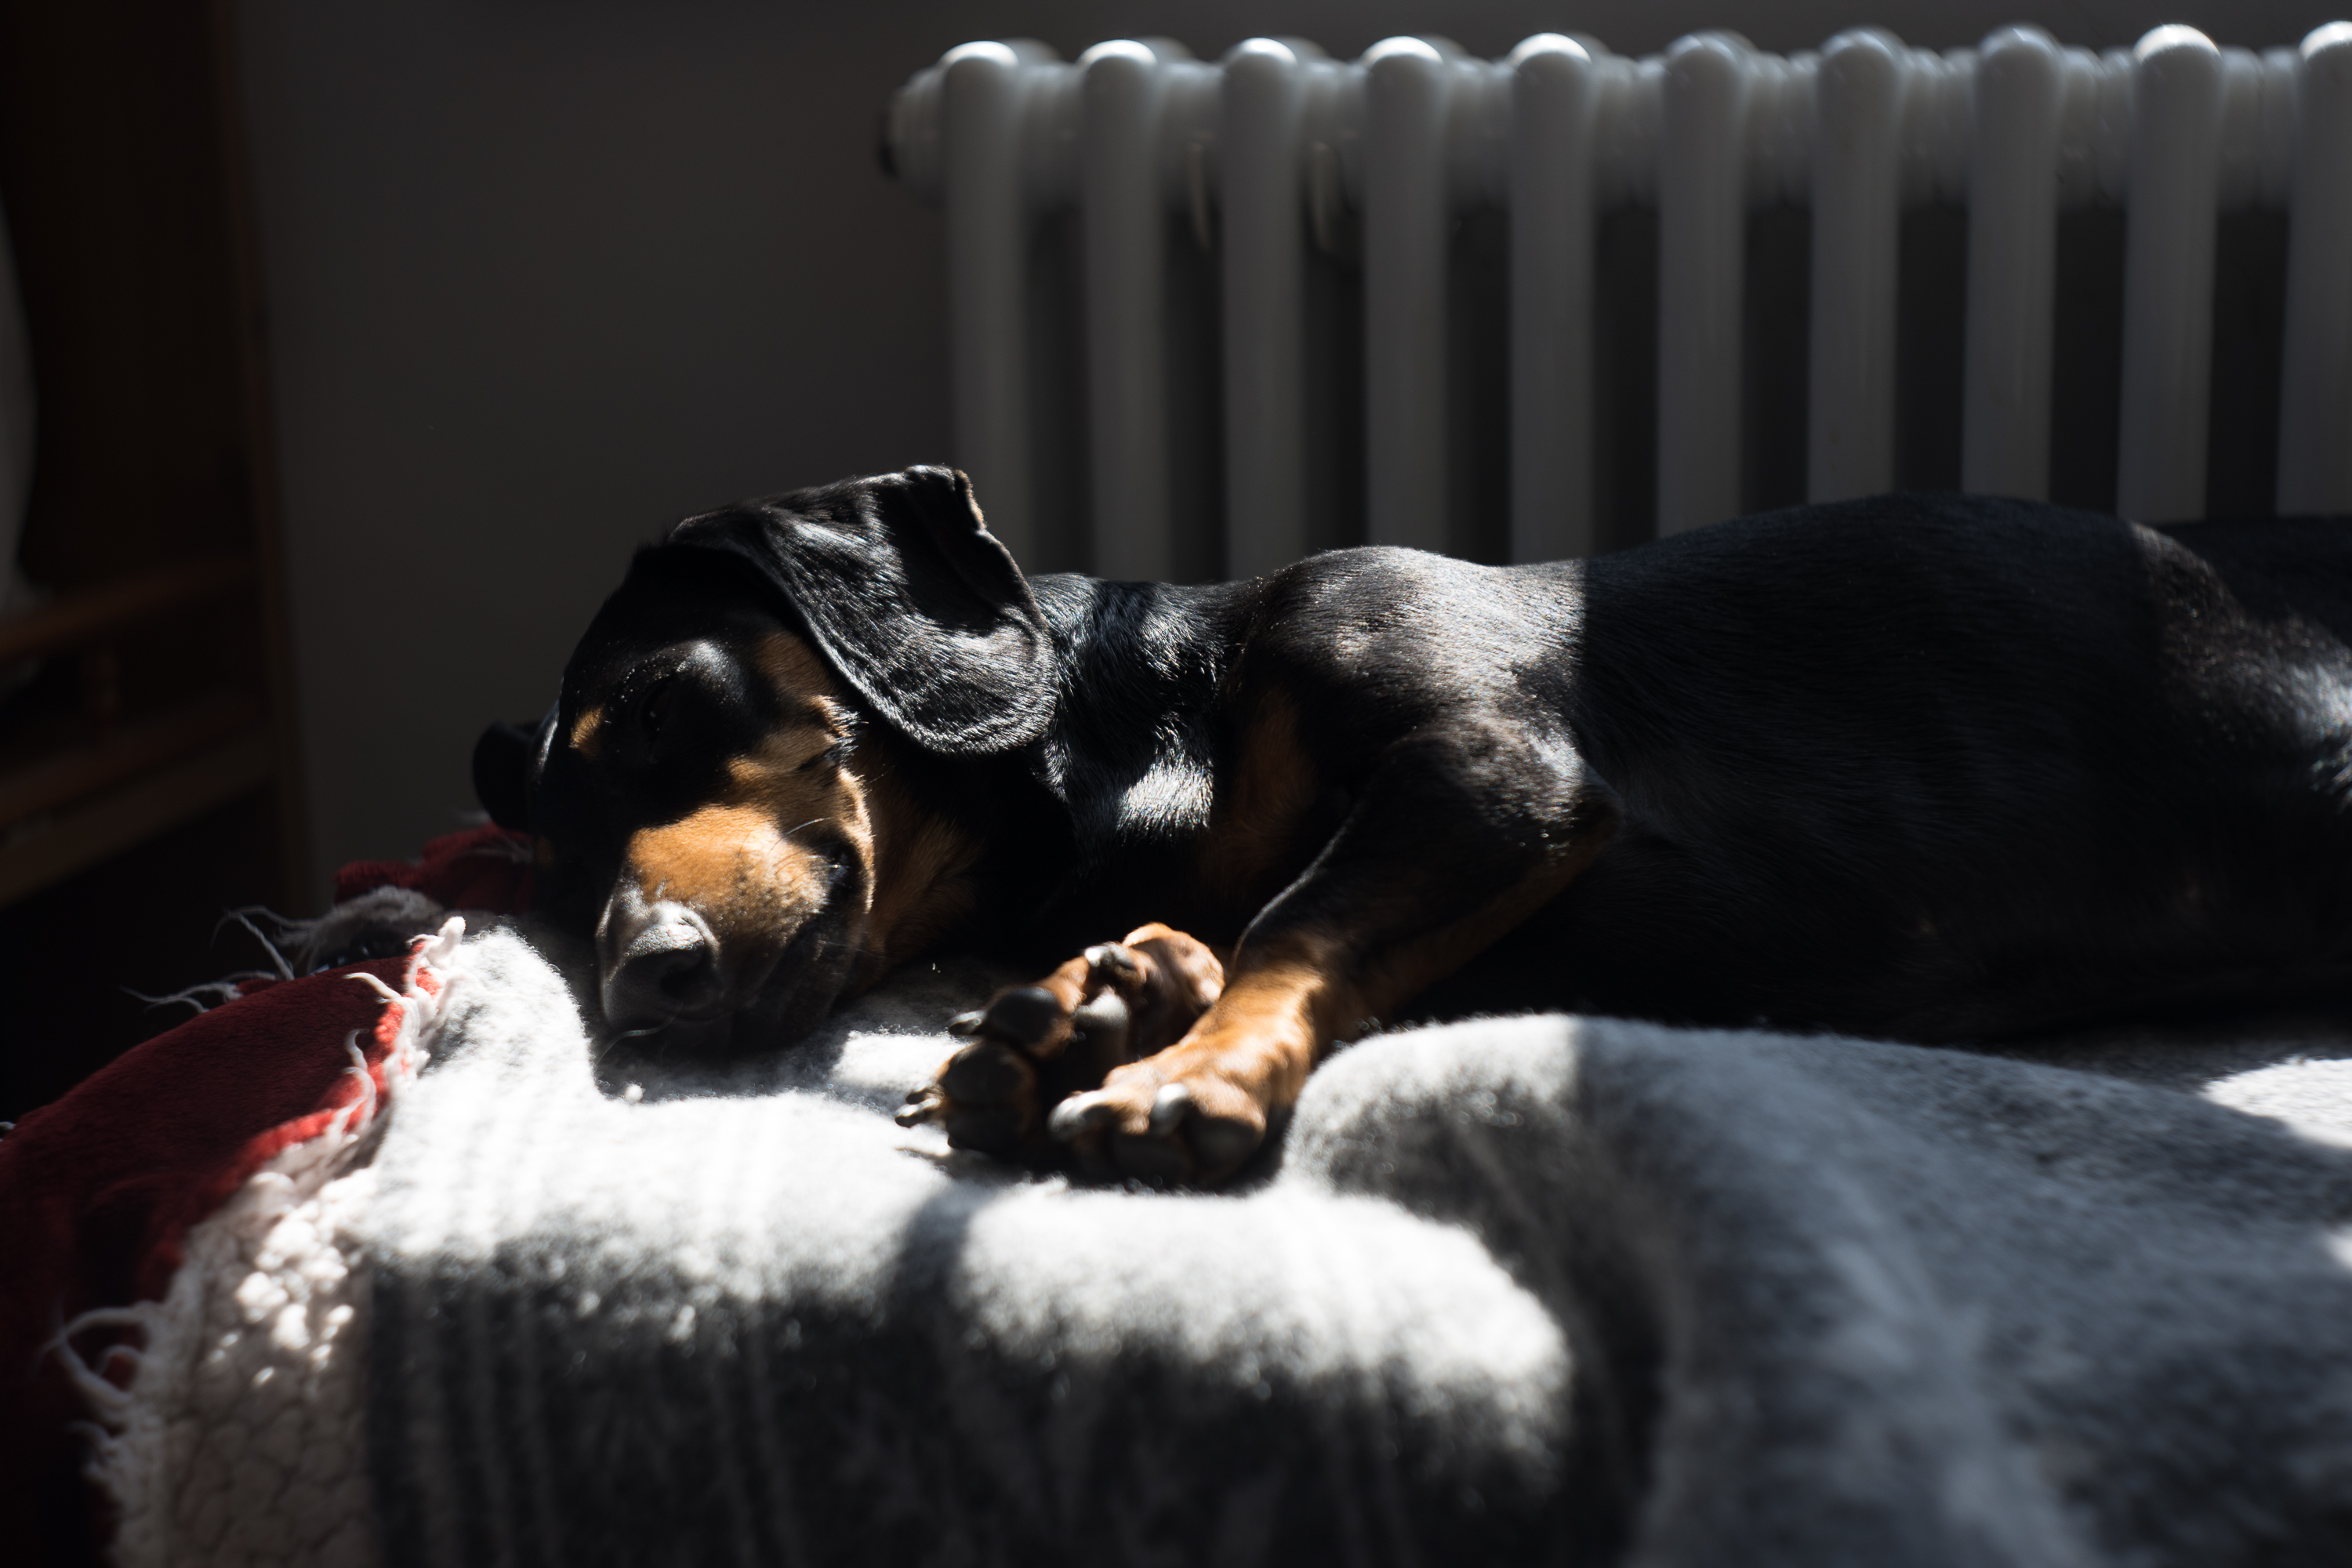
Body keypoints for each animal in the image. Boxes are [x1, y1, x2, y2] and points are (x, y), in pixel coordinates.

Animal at [473, 472, 2352, 1185]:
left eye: (661, 705)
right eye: (553, 878)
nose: (642, 981)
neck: (1152, 720)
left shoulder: (1492, 769)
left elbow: (1295, 921)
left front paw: (1172, 1069)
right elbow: (1259, 927)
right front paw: (1091, 1010)